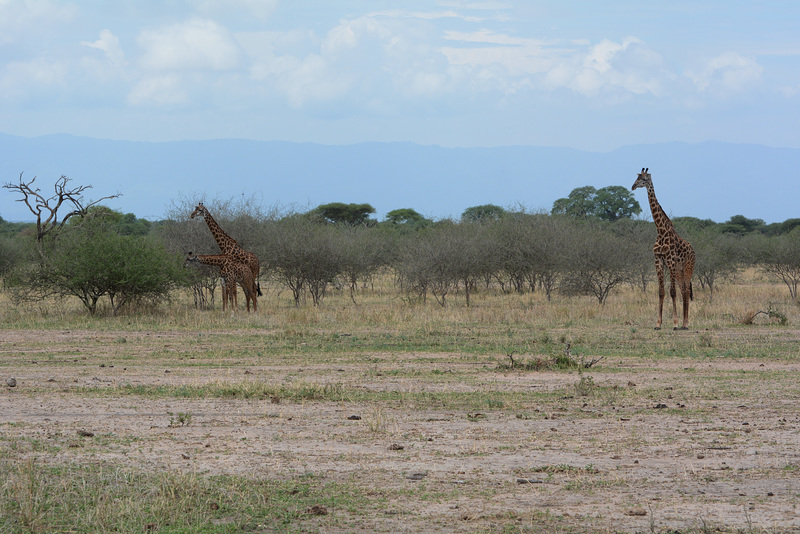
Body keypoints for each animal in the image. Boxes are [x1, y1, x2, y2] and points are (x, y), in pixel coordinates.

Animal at [632, 168, 692, 330]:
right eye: (637, 177)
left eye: (644, 179)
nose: (633, 186)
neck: (660, 230)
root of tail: (693, 250)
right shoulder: (658, 260)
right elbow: (661, 292)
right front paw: (658, 323)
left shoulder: (670, 261)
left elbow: (672, 292)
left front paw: (675, 323)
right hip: (679, 270)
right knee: (683, 289)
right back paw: (684, 323)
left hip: (687, 267)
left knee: (685, 290)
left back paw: (685, 323)